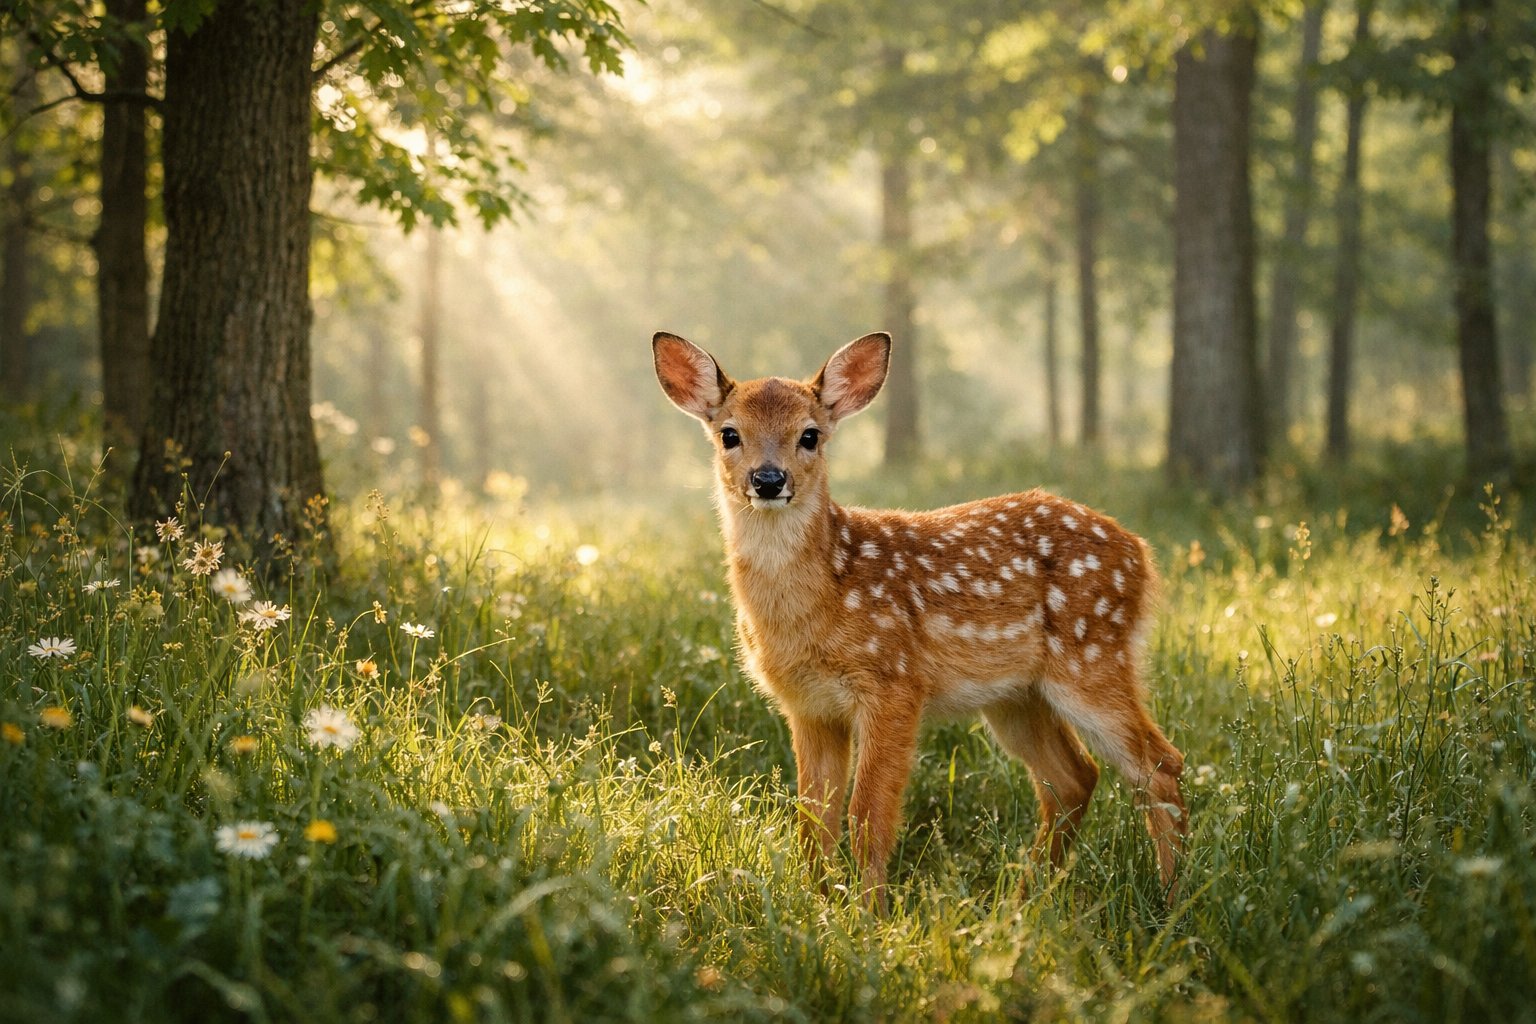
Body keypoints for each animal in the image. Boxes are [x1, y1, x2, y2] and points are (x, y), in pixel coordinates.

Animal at [652, 330, 1186, 908]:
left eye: (810, 436)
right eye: (729, 434)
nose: (769, 479)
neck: (820, 602)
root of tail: (1141, 553)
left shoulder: (894, 683)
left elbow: (868, 816)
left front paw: (868, 916)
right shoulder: (808, 705)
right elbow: (813, 820)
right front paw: (815, 906)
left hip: (1092, 656)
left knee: (1160, 765)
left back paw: (1171, 900)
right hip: (1016, 696)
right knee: (1075, 776)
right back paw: (1023, 901)